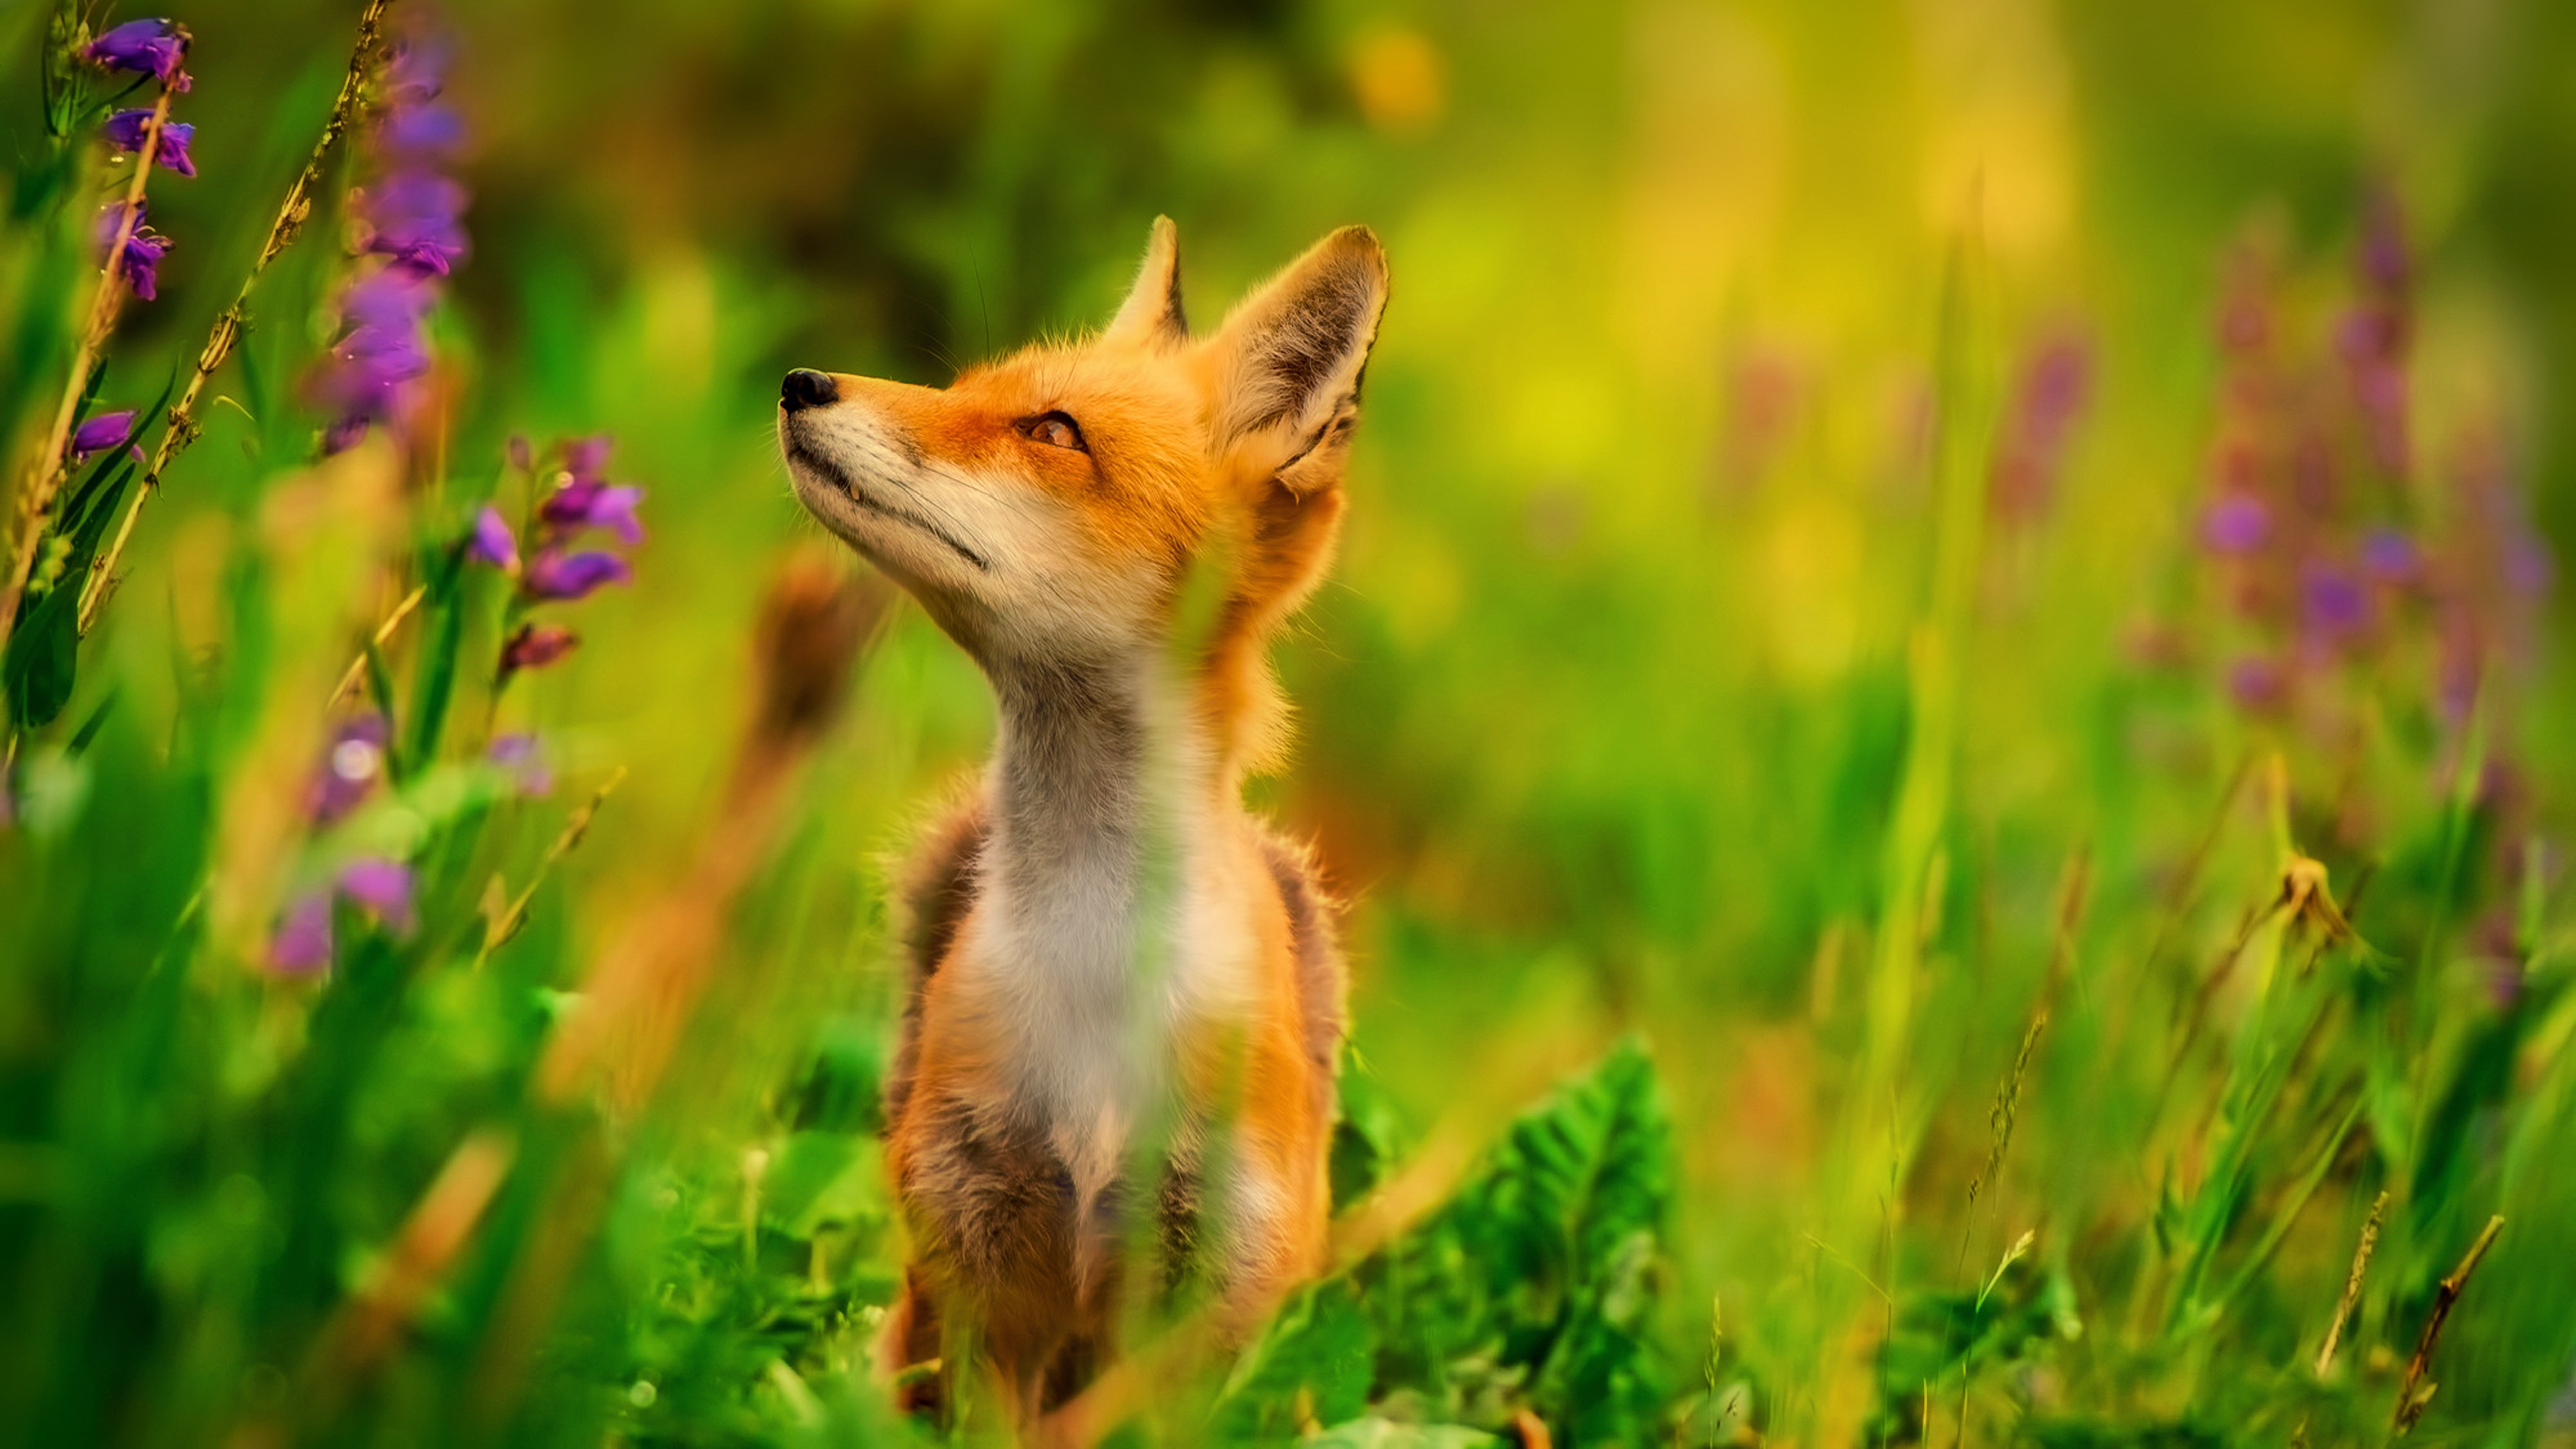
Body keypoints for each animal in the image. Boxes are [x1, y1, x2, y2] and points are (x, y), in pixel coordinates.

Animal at [775, 219, 1389, 1429]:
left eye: (1052, 433)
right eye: (963, 389)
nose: (801, 382)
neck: (1095, 979)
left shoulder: (1196, 1313)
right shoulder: (976, 1276)